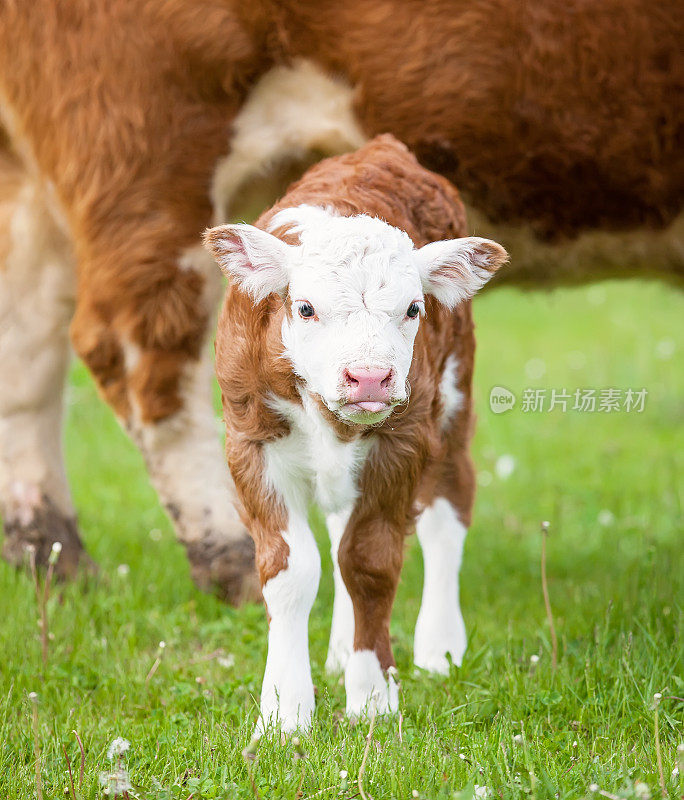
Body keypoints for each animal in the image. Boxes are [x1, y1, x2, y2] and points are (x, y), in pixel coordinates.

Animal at [0, 0, 680, 600]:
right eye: (304, 308)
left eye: (413, 308)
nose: (370, 377)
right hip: (144, 137)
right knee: (140, 348)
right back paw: (232, 556)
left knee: (26, 341)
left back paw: (50, 554)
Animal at [203, 136, 508, 732]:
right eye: (304, 307)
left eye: (413, 308)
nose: (369, 378)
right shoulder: (250, 445)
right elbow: (293, 568)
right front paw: (285, 710)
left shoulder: (402, 443)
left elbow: (368, 563)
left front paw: (372, 698)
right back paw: (342, 649)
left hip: (452, 400)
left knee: (447, 508)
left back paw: (440, 647)